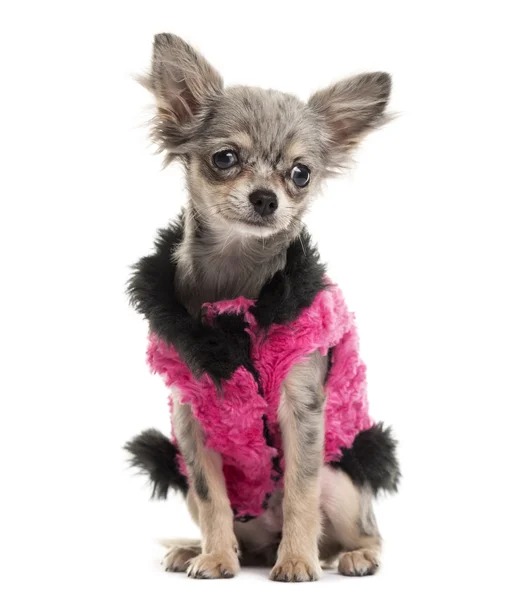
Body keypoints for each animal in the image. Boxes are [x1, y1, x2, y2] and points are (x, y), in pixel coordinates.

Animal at [125, 32, 400, 580]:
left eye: (301, 173)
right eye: (225, 159)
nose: (266, 198)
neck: (235, 287)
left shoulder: (302, 408)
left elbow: (299, 492)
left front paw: (296, 561)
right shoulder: (190, 421)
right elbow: (213, 498)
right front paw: (214, 557)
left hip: (342, 479)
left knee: (362, 531)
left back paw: (350, 555)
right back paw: (200, 549)